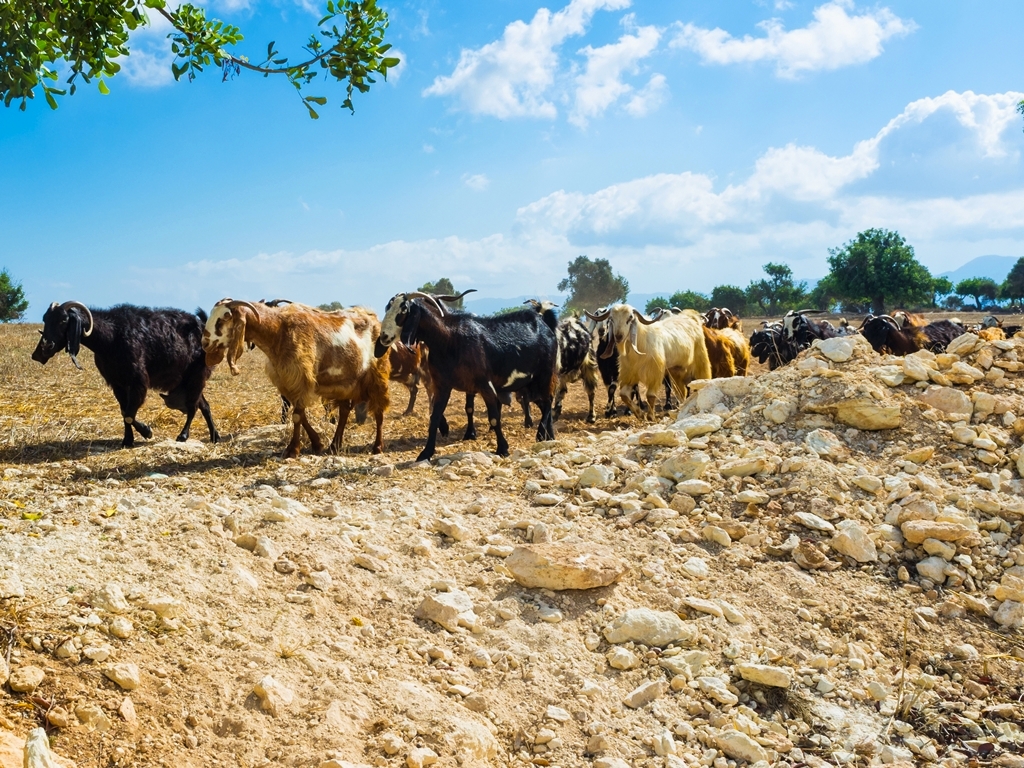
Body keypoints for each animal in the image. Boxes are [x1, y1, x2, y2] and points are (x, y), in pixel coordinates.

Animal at [33, 301, 220, 444]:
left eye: (64, 320)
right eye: (45, 319)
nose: (43, 349)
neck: (110, 337)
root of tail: (202, 326)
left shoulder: (138, 382)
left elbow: (130, 413)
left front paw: (146, 431)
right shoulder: (117, 384)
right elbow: (124, 412)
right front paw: (127, 440)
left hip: (197, 377)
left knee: (193, 406)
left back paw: (183, 435)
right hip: (188, 380)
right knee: (204, 405)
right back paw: (214, 436)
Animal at [203, 301, 391, 456]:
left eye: (224, 318)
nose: (204, 343)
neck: (277, 331)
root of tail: (372, 316)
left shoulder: (301, 378)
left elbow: (297, 416)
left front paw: (293, 450)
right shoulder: (288, 382)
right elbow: (300, 414)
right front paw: (317, 444)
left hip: (377, 375)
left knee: (379, 411)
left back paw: (377, 447)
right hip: (346, 381)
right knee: (344, 410)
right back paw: (334, 446)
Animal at [376, 290, 557, 460]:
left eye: (403, 310)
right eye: (387, 307)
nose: (384, 336)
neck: (449, 339)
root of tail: (543, 323)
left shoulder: (485, 385)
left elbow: (494, 418)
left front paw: (502, 448)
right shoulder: (442, 385)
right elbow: (435, 417)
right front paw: (426, 453)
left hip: (545, 375)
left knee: (548, 401)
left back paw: (541, 434)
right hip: (530, 384)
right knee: (543, 404)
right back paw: (549, 435)